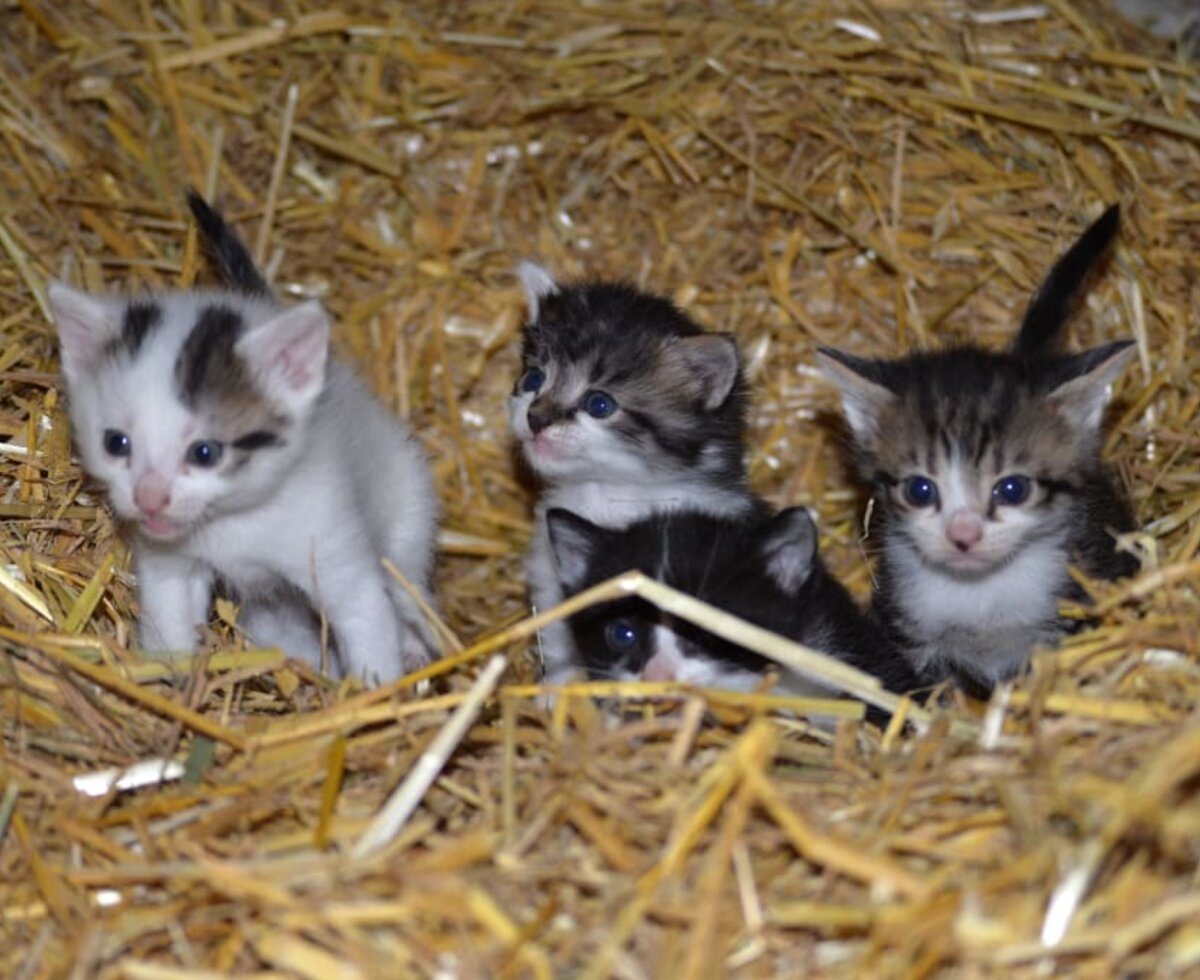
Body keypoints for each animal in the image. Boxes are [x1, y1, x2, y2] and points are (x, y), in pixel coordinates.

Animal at [50, 190, 441, 681]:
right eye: (115, 444)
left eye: (205, 452)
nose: (149, 499)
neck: (233, 519)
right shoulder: (171, 562)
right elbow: (169, 615)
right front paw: (170, 678)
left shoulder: (332, 545)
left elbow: (366, 615)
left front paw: (376, 691)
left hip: (408, 504)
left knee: (407, 577)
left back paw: (413, 640)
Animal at [820, 205, 1137, 695]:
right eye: (919, 490)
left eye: (1012, 489)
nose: (963, 537)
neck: (980, 594)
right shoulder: (907, 630)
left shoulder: (1069, 610)